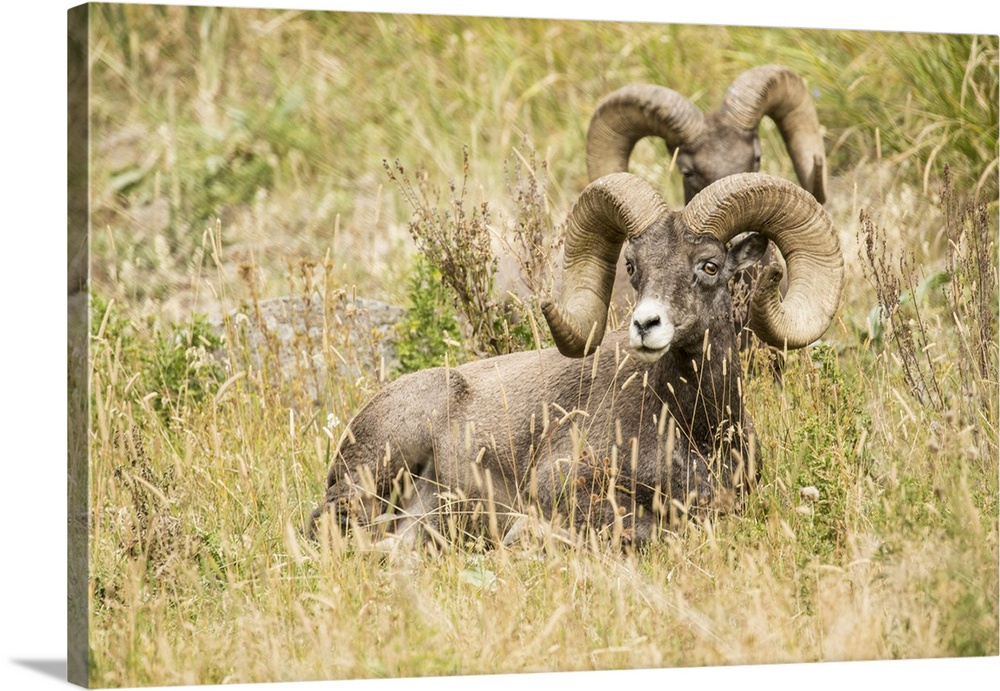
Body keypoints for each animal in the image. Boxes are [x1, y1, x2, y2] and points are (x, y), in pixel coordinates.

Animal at [306, 172, 844, 548]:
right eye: (633, 266)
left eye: (709, 267)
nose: (646, 325)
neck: (695, 428)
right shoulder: (564, 484)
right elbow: (647, 530)